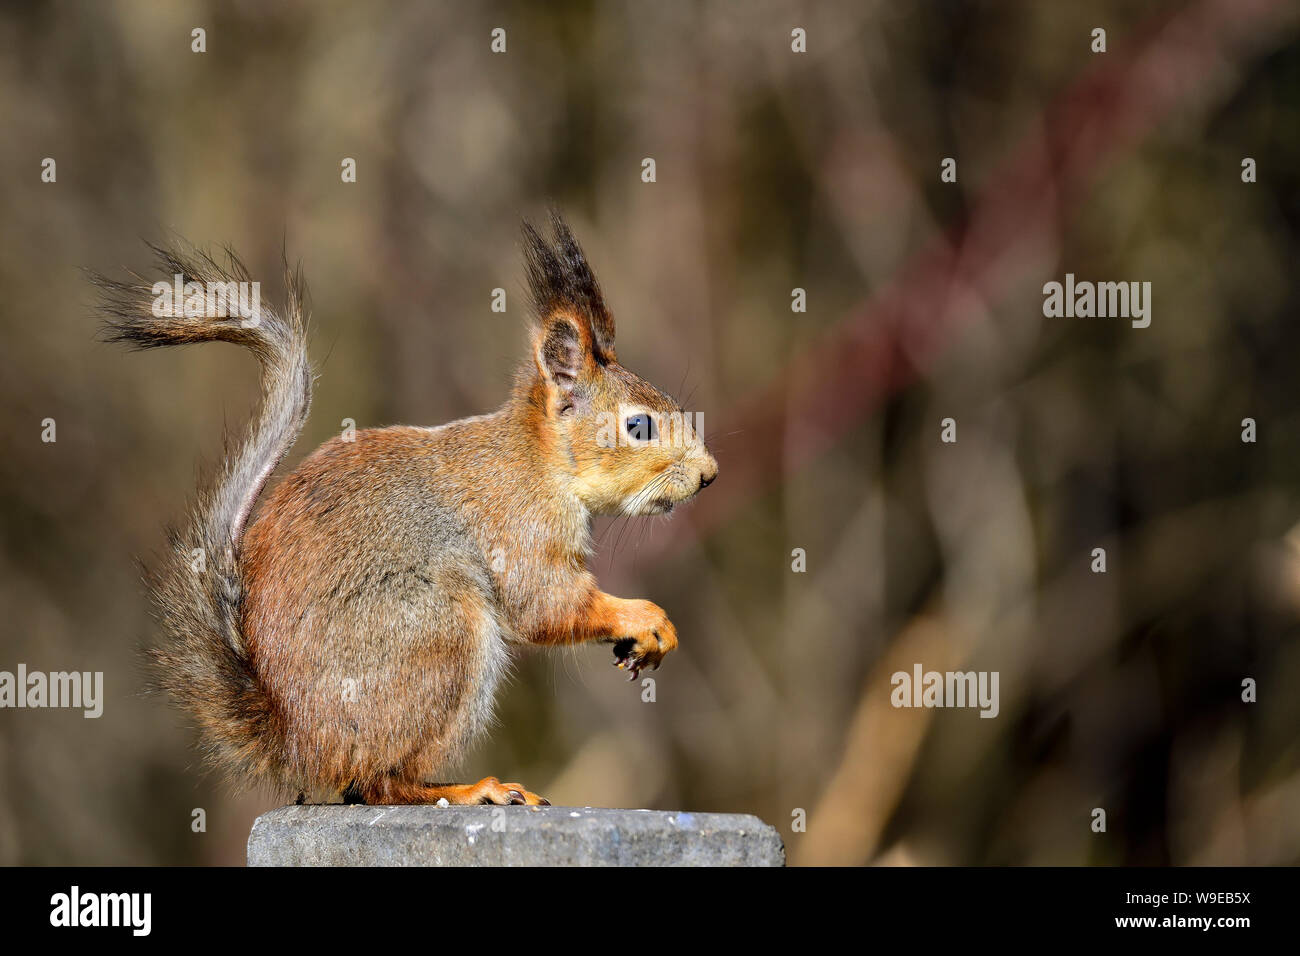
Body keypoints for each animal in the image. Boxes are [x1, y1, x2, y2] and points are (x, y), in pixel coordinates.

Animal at [96, 213, 717, 806]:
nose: (709, 473)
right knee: (377, 784)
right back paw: (471, 790)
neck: (539, 462)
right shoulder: (518, 530)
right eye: (639, 426)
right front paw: (646, 617)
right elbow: (547, 604)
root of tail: (298, 740)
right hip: (440, 635)